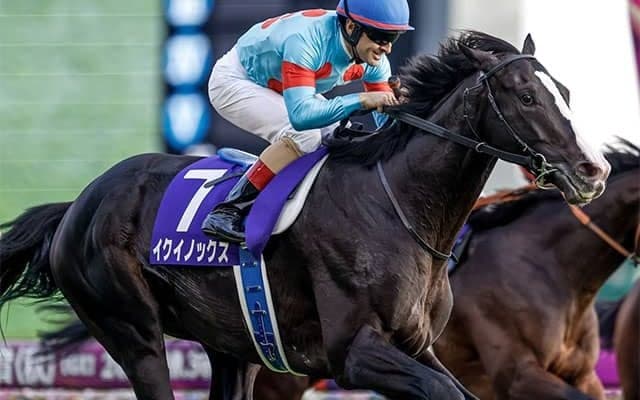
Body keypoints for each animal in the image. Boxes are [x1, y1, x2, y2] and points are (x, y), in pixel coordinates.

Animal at [0, 31, 610, 400]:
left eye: (565, 91)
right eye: (526, 96)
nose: (593, 170)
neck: (400, 207)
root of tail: (78, 205)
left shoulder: (419, 346)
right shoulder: (352, 352)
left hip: (234, 345)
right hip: (133, 331)